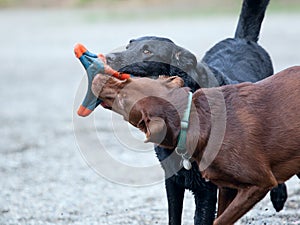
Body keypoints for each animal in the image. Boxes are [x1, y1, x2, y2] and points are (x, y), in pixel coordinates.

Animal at [92, 66, 300, 224]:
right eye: (128, 79)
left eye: (122, 101)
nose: (97, 77)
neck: (192, 118)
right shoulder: (227, 188)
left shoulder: (260, 183)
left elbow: (219, 220)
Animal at [104, 0, 288, 223]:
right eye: (129, 46)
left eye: (147, 52)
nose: (109, 57)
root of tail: (242, 40)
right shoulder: (173, 180)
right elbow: (174, 216)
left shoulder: (206, 188)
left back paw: (279, 195)